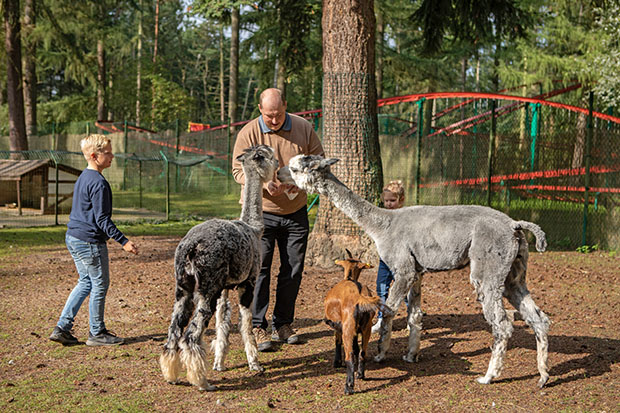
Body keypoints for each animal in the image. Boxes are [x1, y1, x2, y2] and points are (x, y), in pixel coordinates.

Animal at [326, 251, 390, 392]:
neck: (349, 278)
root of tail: (359, 297)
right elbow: (356, 347)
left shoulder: (338, 326)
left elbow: (337, 341)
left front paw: (337, 362)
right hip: (367, 328)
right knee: (362, 352)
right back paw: (360, 374)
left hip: (348, 328)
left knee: (349, 356)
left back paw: (349, 387)